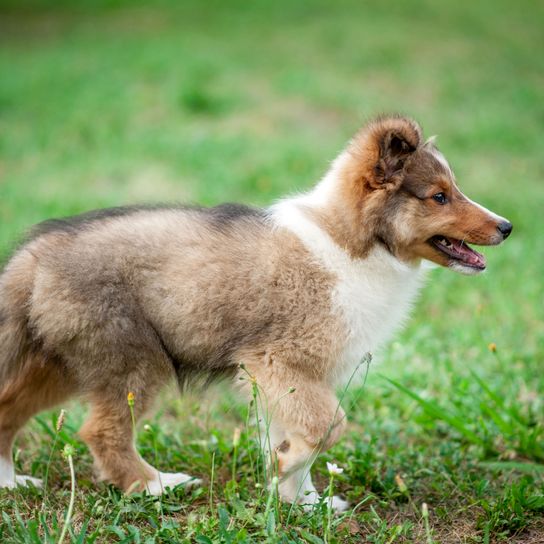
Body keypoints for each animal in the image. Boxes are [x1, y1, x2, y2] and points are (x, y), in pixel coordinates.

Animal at [0, 115, 510, 510]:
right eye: (439, 196)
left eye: (453, 189)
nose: (507, 227)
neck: (351, 245)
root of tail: (34, 256)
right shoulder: (276, 361)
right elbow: (328, 426)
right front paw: (288, 475)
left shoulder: (296, 377)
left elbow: (300, 435)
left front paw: (301, 500)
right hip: (132, 359)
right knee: (102, 431)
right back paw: (154, 485)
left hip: (62, 363)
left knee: (8, 408)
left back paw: (10, 482)